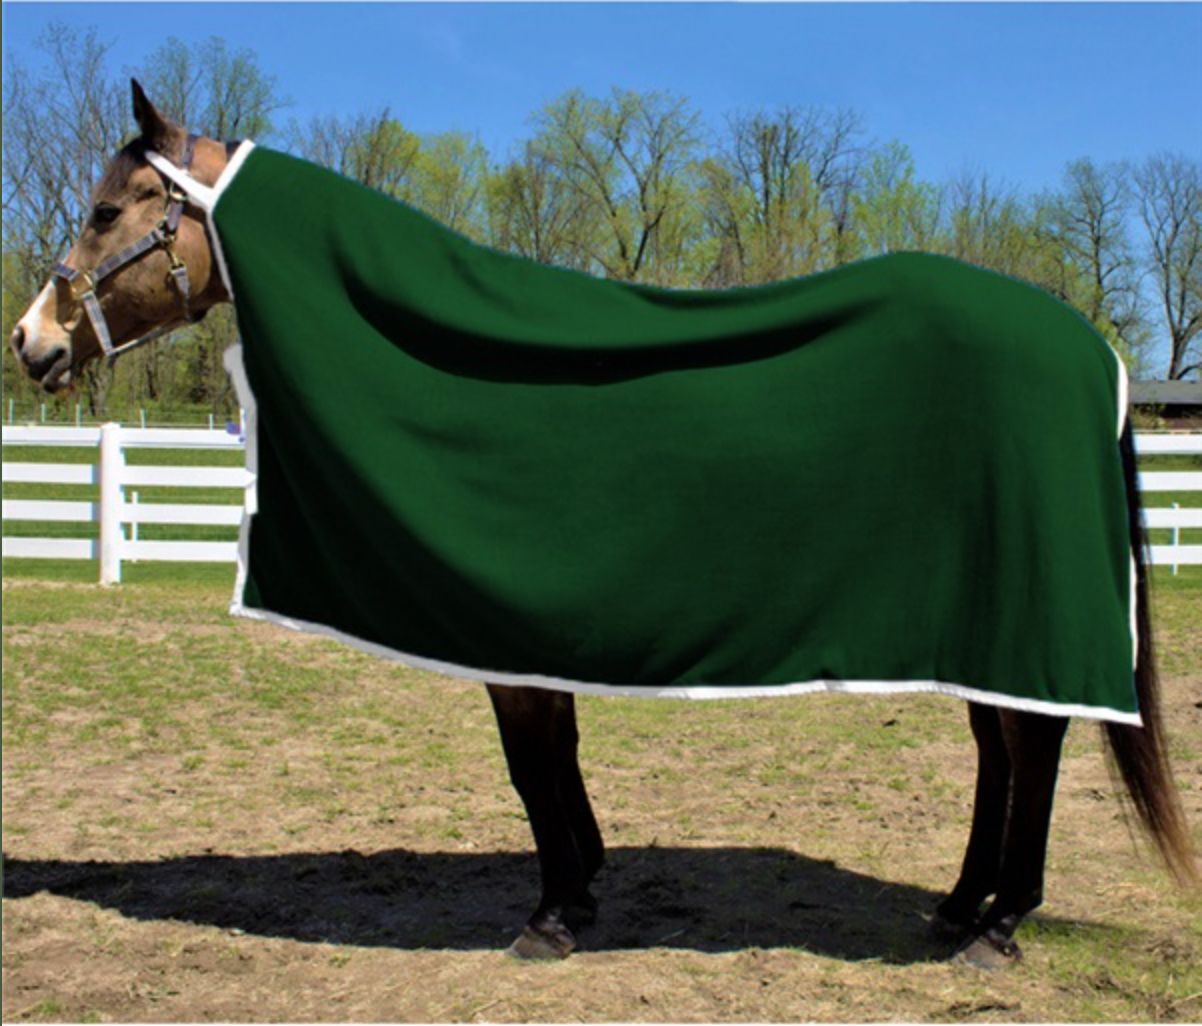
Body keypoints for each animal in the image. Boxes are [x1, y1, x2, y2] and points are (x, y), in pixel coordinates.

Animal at [10, 81, 1196, 969]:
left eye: (110, 211)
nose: (32, 342)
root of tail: (1088, 348)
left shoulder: (499, 628)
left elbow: (532, 762)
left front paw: (550, 914)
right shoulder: (528, 631)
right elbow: (554, 758)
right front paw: (580, 888)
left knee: (1033, 741)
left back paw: (999, 924)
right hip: (975, 616)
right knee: (1002, 744)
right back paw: (959, 906)